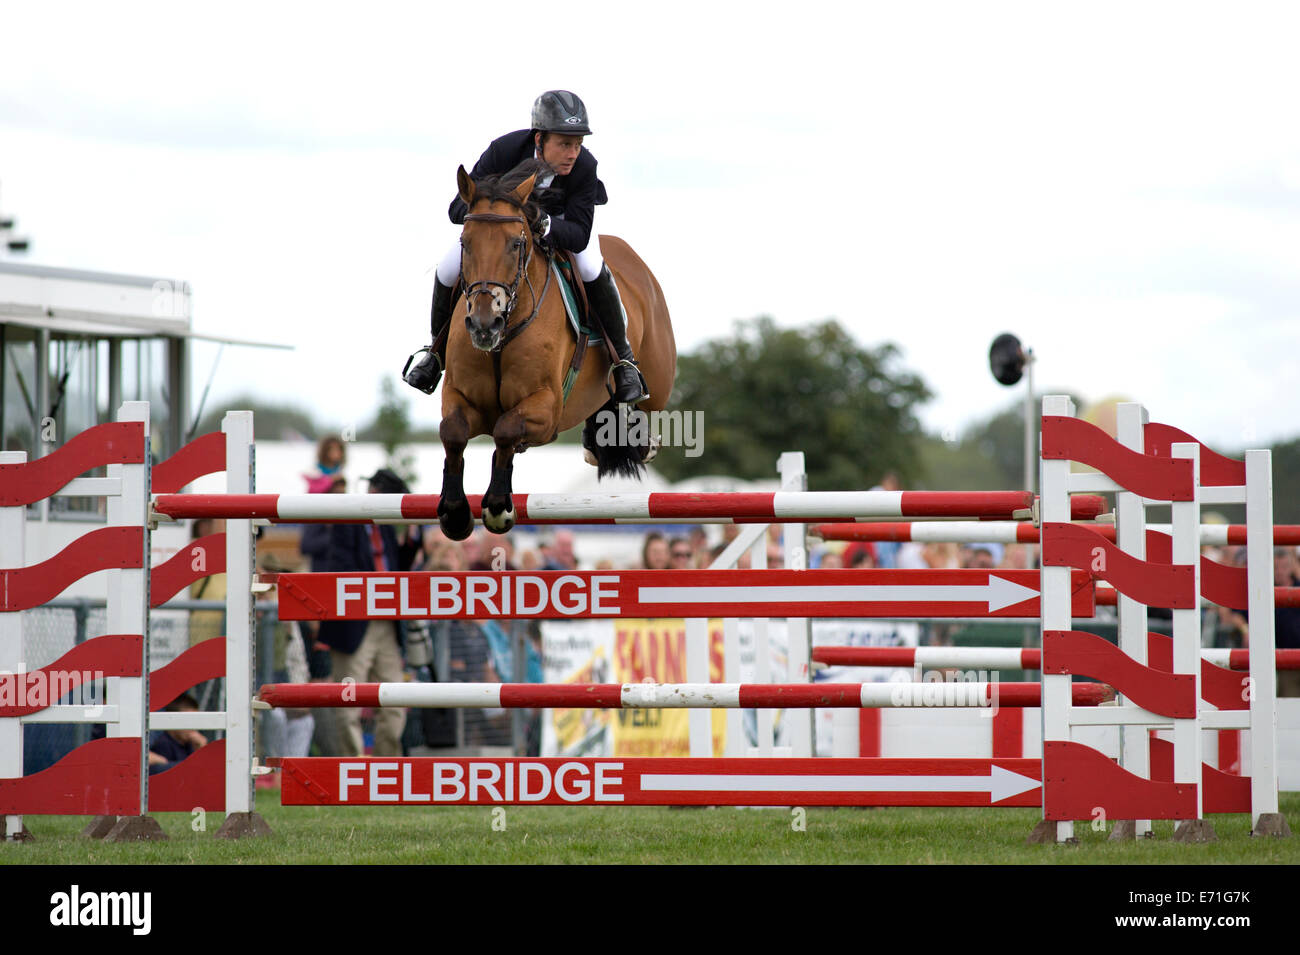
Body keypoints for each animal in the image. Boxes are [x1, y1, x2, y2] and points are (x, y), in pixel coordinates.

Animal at [439, 160, 681, 540]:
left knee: (641, 415)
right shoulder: (459, 396)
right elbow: (452, 432)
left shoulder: (547, 408)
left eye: (516, 244)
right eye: (465, 242)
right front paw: (454, 513)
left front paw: (498, 507)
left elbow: (506, 429)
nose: (483, 325)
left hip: (656, 384)